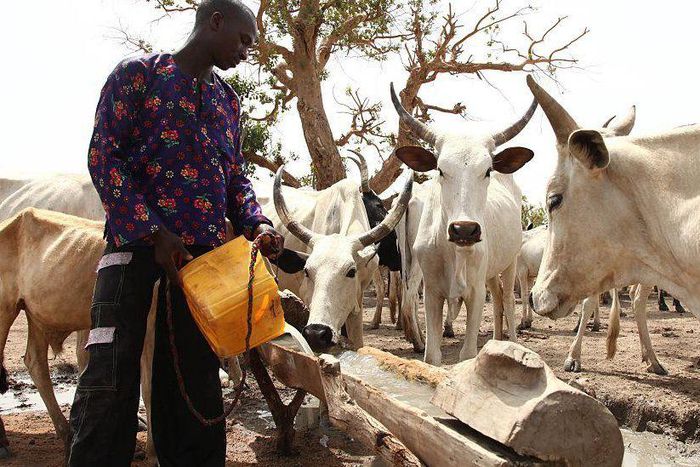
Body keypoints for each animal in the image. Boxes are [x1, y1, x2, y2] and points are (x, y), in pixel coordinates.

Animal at [388, 83, 537, 365]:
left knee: (508, 300)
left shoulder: (476, 294)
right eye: (440, 170)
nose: (464, 229)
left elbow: (467, 354)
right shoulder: (432, 293)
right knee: (498, 298)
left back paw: (511, 342)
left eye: (487, 170)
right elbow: (431, 356)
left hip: (511, 262)